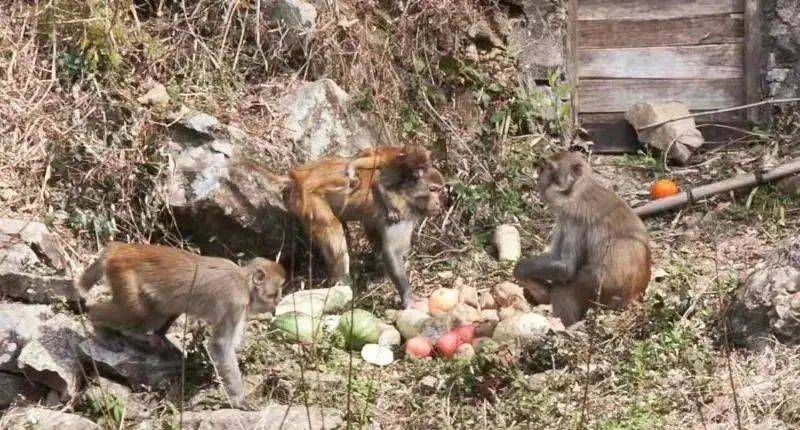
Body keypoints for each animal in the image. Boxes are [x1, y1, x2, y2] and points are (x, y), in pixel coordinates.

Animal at [78, 242, 284, 410]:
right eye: (274, 294)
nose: (277, 303)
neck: (244, 282)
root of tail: (120, 248)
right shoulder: (235, 304)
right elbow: (221, 345)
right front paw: (239, 400)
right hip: (125, 278)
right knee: (134, 312)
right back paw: (101, 326)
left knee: (163, 308)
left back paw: (152, 337)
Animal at [512, 152, 648, 326]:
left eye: (550, 168)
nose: (540, 177)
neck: (580, 188)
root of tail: (633, 298)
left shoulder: (573, 217)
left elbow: (566, 267)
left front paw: (520, 270)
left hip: (599, 294)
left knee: (564, 288)